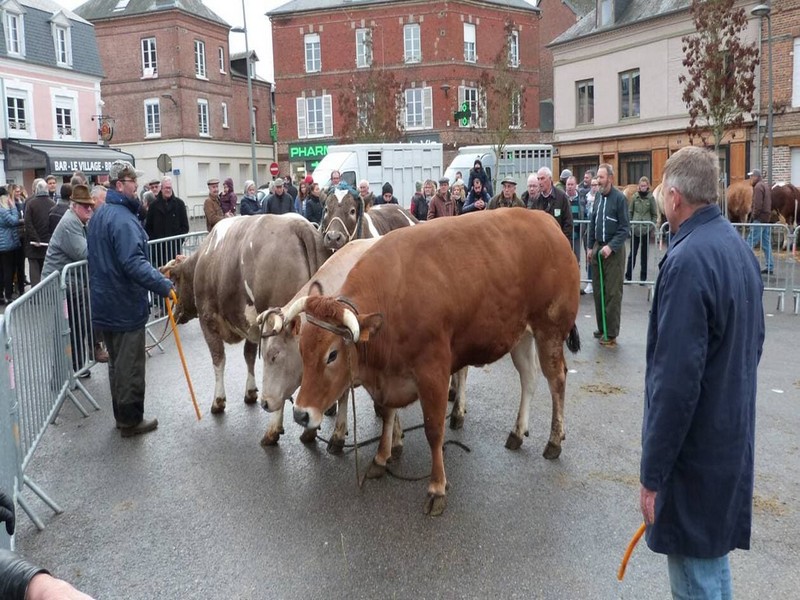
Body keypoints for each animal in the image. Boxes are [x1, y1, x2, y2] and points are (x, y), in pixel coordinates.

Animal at [262, 210, 580, 516]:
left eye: (332, 355)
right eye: (302, 350)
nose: (300, 414)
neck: (392, 299)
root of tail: (546, 221)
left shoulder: (434, 373)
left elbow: (433, 430)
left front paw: (437, 488)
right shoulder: (388, 375)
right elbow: (387, 414)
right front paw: (381, 458)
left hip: (550, 330)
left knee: (557, 380)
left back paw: (554, 440)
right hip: (520, 335)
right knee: (529, 377)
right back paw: (517, 432)